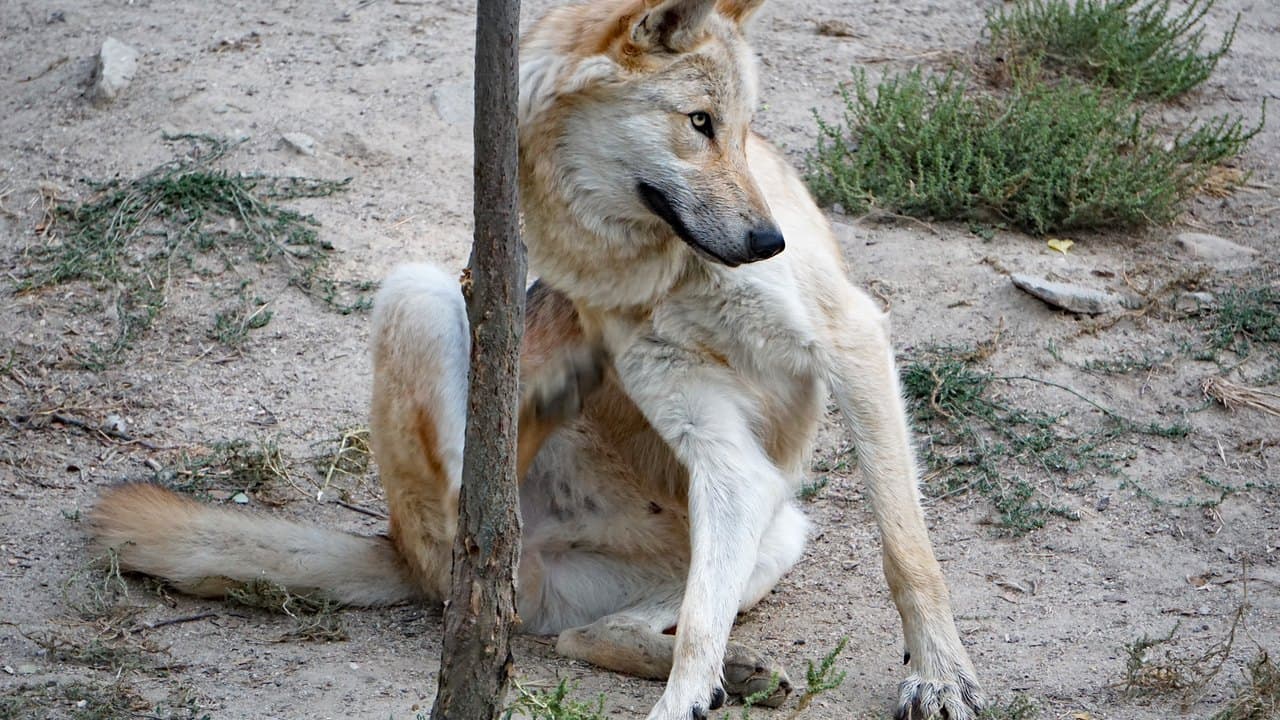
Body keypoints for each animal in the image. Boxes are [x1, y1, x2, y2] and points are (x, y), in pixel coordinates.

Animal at [90, 0, 984, 718]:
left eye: (742, 129)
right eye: (699, 122)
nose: (770, 242)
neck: (658, 266)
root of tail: (397, 551)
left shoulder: (840, 357)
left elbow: (904, 552)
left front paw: (937, 676)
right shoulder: (710, 421)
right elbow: (731, 613)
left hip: (780, 523)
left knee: (597, 632)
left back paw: (740, 671)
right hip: (416, 291)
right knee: (484, 511)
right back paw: (539, 408)